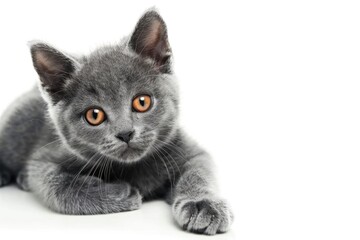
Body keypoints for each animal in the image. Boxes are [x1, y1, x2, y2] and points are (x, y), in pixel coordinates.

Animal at [0, 10, 233, 235]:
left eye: (142, 102)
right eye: (94, 115)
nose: (125, 133)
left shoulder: (188, 149)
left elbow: (199, 172)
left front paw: (203, 205)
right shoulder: (43, 159)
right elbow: (55, 185)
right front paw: (118, 192)